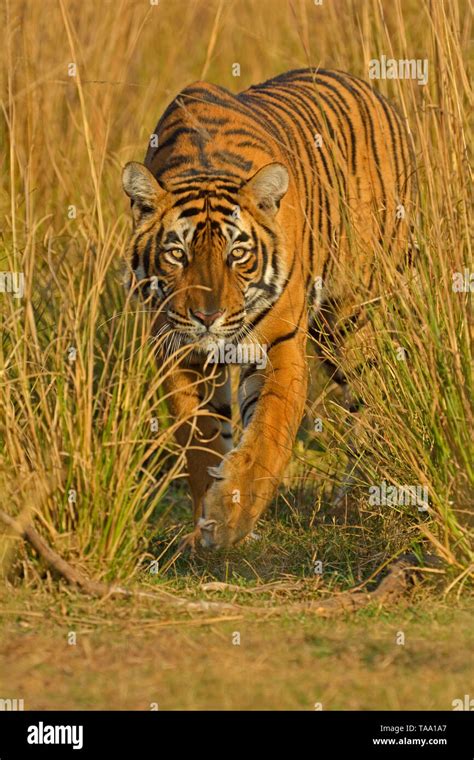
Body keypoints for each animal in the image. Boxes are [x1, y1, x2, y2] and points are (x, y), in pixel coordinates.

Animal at [122, 68, 416, 550]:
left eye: (237, 254)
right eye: (177, 254)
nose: (207, 318)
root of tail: (373, 91)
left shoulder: (278, 343)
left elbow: (268, 434)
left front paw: (231, 516)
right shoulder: (179, 348)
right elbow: (199, 437)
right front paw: (204, 524)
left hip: (355, 315)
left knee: (374, 400)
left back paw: (354, 503)